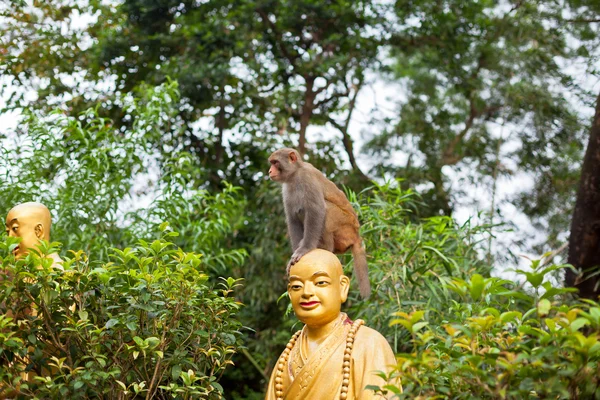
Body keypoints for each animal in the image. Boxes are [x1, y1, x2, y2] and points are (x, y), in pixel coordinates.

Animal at [268, 147, 370, 296]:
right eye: (271, 163)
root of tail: (357, 234)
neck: (295, 174)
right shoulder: (286, 189)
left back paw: (326, 249)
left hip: (346, 227)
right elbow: (293, 219)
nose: (270, 171)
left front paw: (304, 249)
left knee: (326, 211)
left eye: (275, 162)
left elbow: (316, 211)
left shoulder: (307, 178)